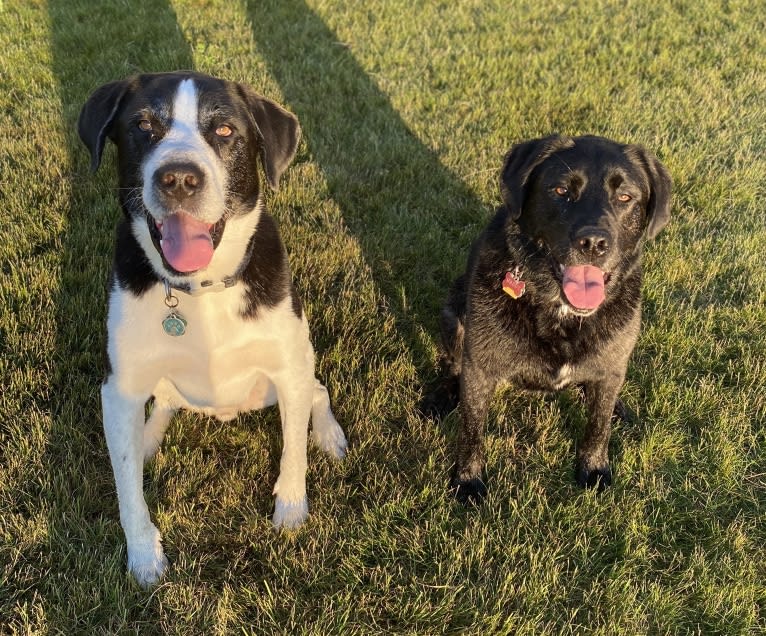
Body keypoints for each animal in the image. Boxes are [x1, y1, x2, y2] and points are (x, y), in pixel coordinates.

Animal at [78, 71, 348, 588]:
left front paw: (290, 512)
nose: (179, 178)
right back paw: (147, 438)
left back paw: (329, 435)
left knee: (318, 391)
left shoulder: (286, 365)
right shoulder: (118, 387)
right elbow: (127, 488)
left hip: (287, 371)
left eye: (224, 131)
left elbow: (293, 451)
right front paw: (144, 558)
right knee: (163, 402)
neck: (199, 289)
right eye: (144, 125)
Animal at [438, 135, 672, 502]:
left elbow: (598, 427)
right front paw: (468, 480)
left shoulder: (610, 367)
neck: (560, 311)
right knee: (452, 364)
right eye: (561, 190)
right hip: (453, 314)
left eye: (625, 197)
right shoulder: (480, 368)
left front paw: (594, 468)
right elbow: (472, 430)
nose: (593, 243)